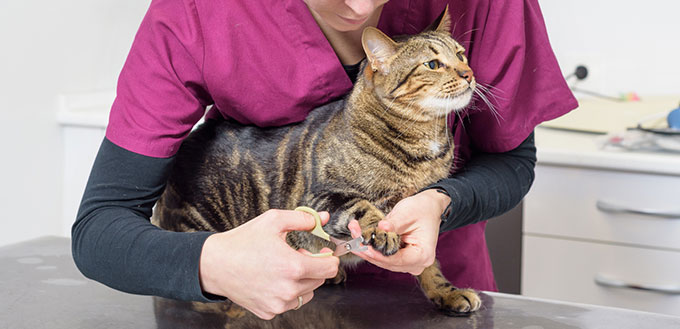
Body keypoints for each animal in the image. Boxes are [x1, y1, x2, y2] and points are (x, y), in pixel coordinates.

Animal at [154, 7, 484, 316]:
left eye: (461, 54)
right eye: (432, 65)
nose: (468, 73)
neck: (422, 140)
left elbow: (429, 263)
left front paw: (447, 292)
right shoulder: (322, 196)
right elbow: (362, 206)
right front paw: (382, 230)